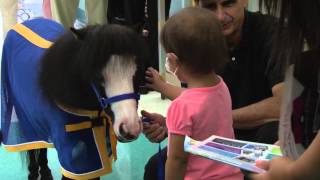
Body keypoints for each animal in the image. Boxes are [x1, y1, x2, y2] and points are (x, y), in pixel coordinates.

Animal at [0, 18, 147, 180]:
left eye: (137, 71)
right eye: (96, 74)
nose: (130, 128)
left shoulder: (94, 155)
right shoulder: (75, 158)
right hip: (26, 119)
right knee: (33, 147)